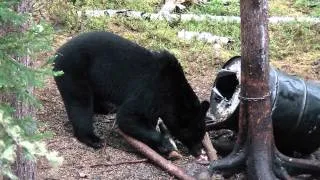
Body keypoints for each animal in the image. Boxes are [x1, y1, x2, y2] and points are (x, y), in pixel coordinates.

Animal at [53, 31, 209, 157]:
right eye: (196, 134)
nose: (198, 152)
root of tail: (57, 53)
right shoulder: (149, 92)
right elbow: (128, 117)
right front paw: (165, 143)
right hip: (73, 71)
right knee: (80, 104)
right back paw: (93, 139)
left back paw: (107, 108)